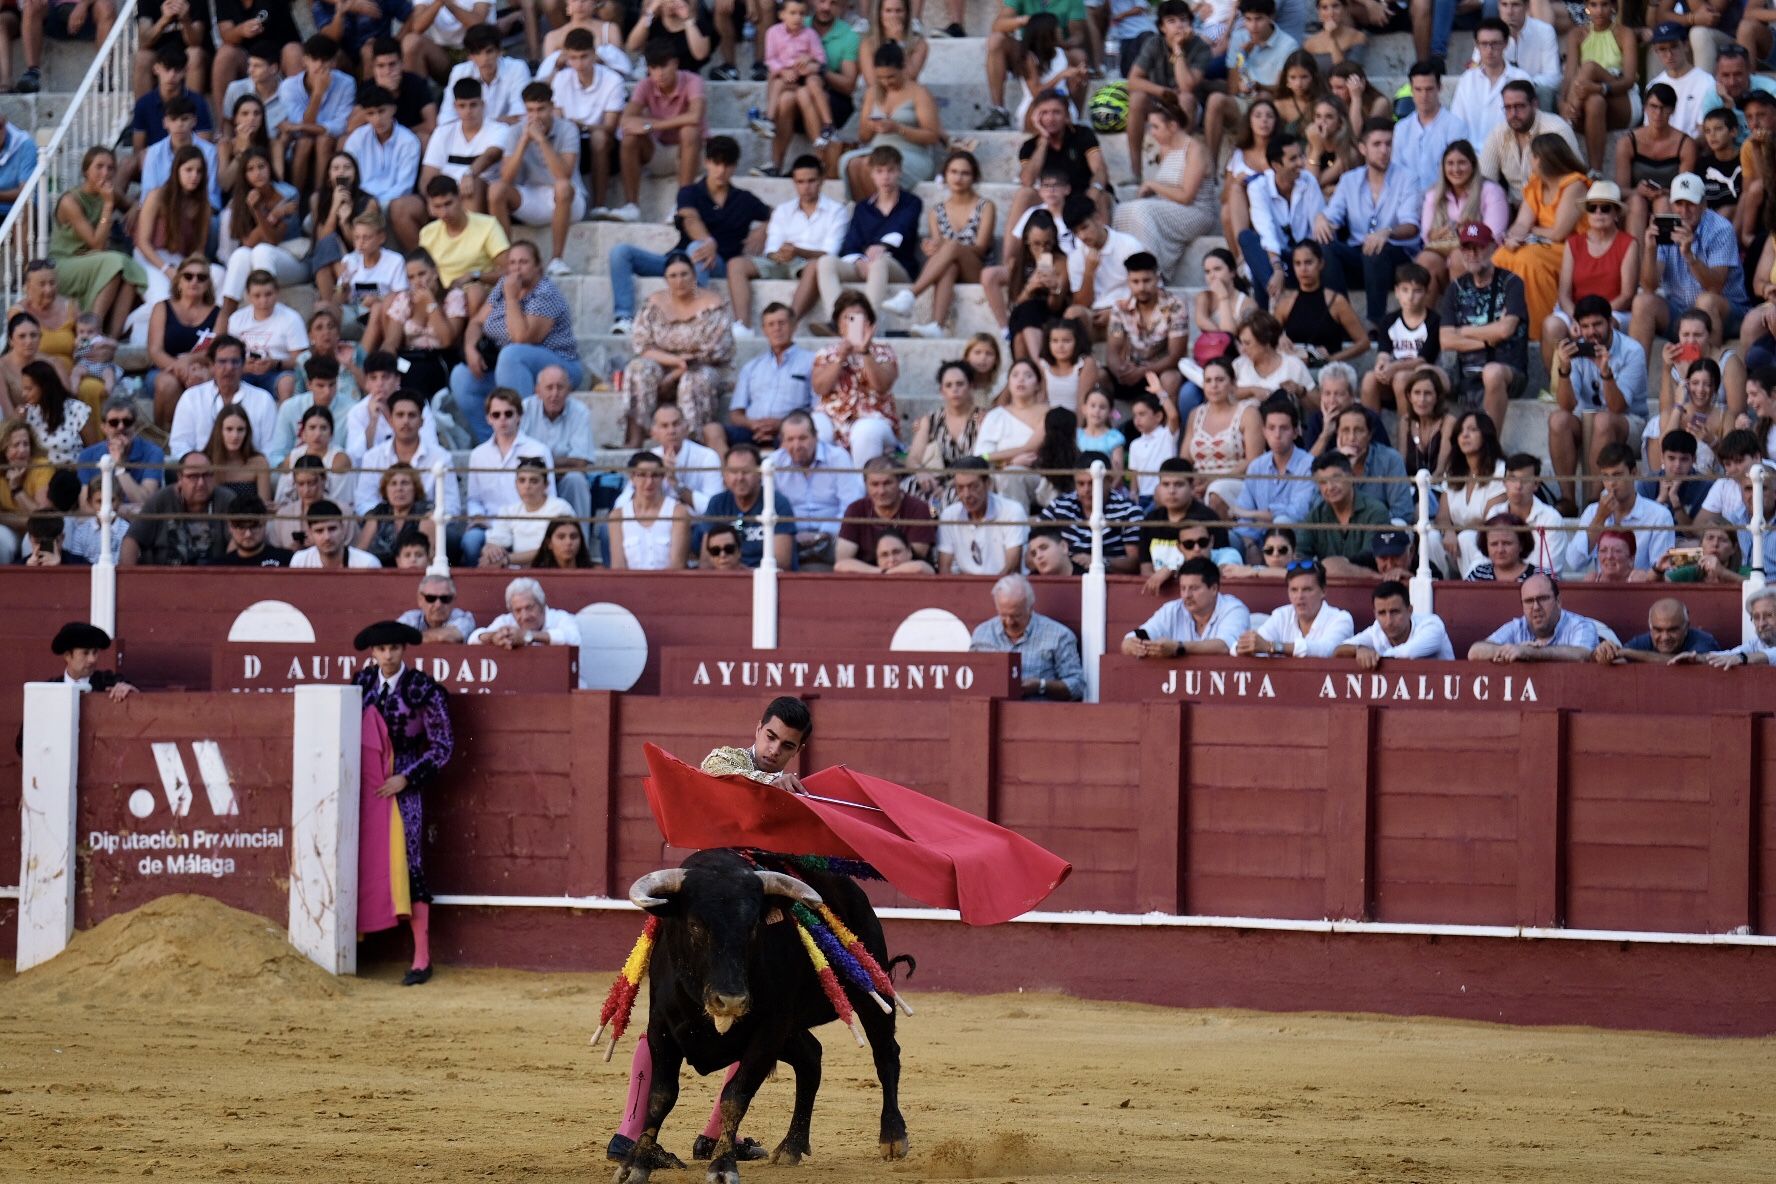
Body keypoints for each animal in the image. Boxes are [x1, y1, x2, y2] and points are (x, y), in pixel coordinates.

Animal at [618, 852, 909, 1184]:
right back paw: (792, 1144)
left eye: (753, 928)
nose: (731, 999)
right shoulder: (661, 1028)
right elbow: (660, 1096)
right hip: (793, 1030)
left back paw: (893, 1136)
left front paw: (722, 1166)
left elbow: (735, 1097)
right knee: (812, 1057)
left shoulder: (768, 1032)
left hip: (870, 992)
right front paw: (637, 1164)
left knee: (885, 1053)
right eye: (694, 925)